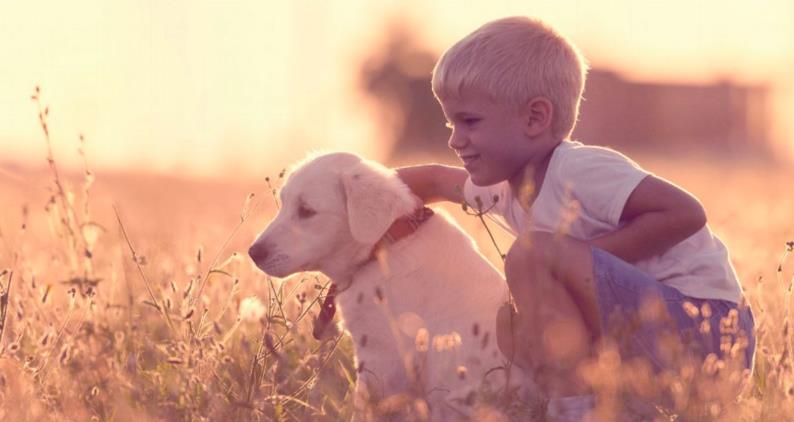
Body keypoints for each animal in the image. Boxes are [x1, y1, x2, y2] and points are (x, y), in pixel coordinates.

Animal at [251, 153, 528, 420]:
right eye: (284, 204)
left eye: (307, 211)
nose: (253, 253)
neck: (383, 246)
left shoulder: (383, 357)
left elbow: (366, 407)